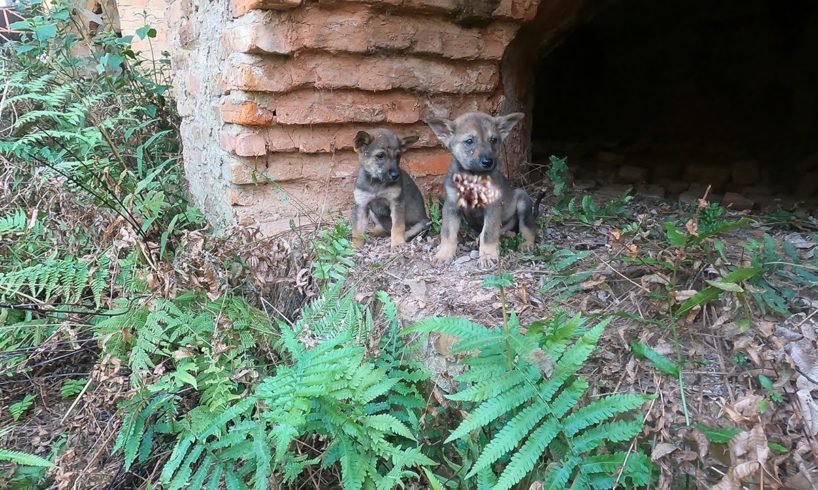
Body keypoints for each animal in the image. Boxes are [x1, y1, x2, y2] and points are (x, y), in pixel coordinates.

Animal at [428, 111, 536, 268]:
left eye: (493, 140)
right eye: (469, 141)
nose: (488, 162)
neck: (473, 179)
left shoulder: (492, 207)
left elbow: (488, 234)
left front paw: (487, 256)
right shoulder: (451, 206)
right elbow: (448, 233)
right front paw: (444, 254)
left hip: (522, 201)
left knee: (527, 228)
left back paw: (527, 243)